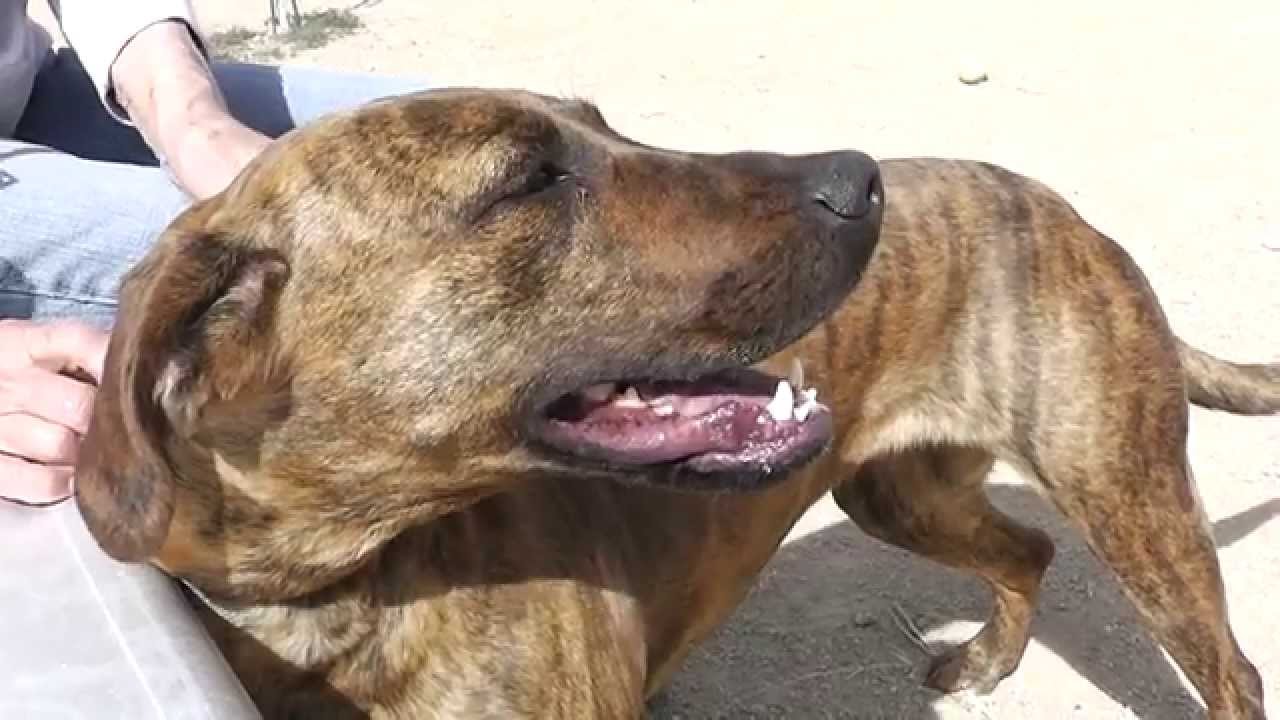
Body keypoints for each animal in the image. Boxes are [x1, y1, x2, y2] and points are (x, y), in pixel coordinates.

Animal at [74, 90, 1274, 717]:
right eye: (529, 180)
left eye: (601, 120)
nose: (861, 179)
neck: (348, 589)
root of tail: (1055, 206)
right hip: (909, 497)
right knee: (1025, 550)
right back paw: (986, 661)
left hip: (1131, 504)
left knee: (1230, 667)